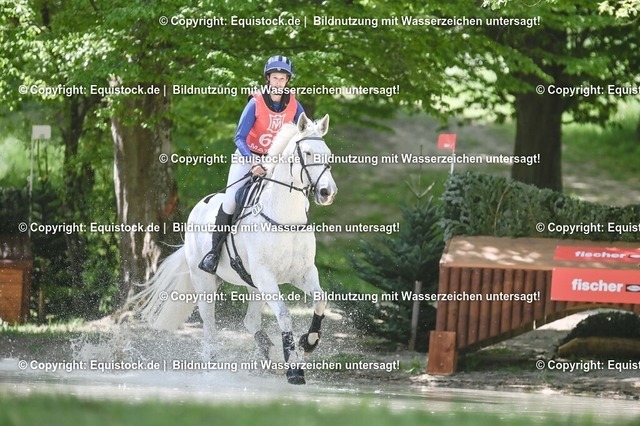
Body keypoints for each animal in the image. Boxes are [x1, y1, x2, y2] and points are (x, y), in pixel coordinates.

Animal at [131, 113, 337, 384]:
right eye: (308, 153)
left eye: (328, 154)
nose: (327, 192)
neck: (285, 218)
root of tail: (197, 210)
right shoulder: (266, 276)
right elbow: (284, 314)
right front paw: (294, 368)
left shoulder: (302, 273)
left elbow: (321, 300)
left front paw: (309, 342)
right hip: (206, 283)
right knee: (209, 325)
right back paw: (213, 365)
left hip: (253, 285)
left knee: (250, 321)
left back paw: (270, 354)